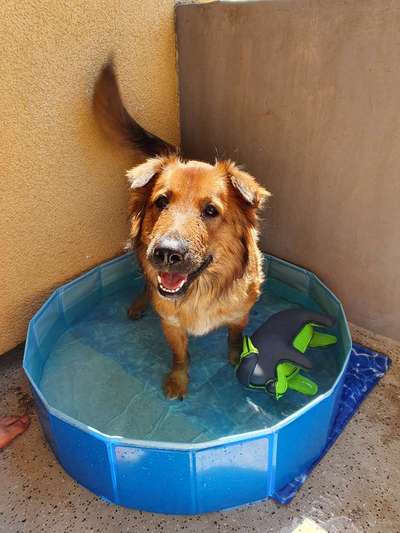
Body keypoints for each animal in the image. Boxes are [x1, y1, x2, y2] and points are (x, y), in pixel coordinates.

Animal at [92, 64, 270, 400]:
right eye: (161, 202)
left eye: (211, 211)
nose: (166, 253)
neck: (199, 290)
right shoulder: (171, 324)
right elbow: (178, 356)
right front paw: (178, 379)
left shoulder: (240, 314)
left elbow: (234, 336)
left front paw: (235, 356)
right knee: (146, 285)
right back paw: (139, 304)